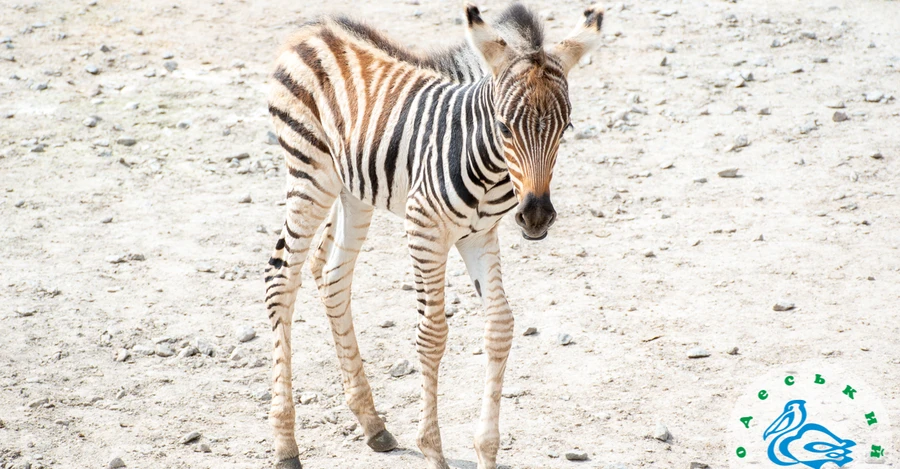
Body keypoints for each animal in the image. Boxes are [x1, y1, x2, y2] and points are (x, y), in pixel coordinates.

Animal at [264, 4, 608, 468]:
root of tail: (313, 31)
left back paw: (372, 424)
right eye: (504, 126)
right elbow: (432, 334)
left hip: (353, 187)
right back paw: (286, 444)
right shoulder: (424, 227)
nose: (536, 217)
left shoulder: (480, 235)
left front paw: (486, 451)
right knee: (281, 278)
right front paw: (431, 448)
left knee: (332, 274)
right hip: (310, 173)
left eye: (567, 126)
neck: (489, 166)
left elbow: (500, 326)